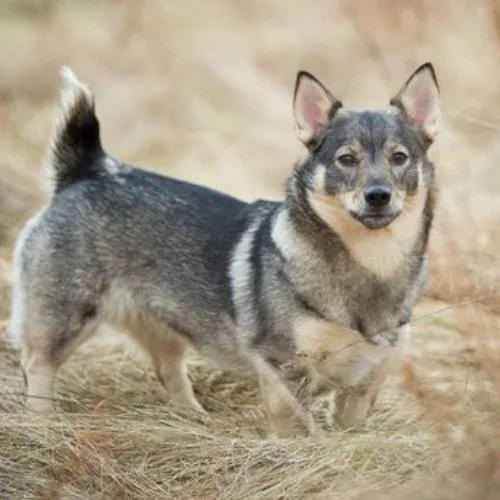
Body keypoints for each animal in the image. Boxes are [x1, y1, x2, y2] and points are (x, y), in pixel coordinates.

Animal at [6, 63, 438, 438]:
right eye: (346, 160)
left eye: (399, 157)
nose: (378, 195)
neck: (370, 264)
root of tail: (88, 171)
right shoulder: (284, 371)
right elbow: (300, 434)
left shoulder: (362, 388)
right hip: (64, 318)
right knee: (37, 365)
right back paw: (41, 424)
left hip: (161, 327)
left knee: (169, 372)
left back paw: (195, 421)